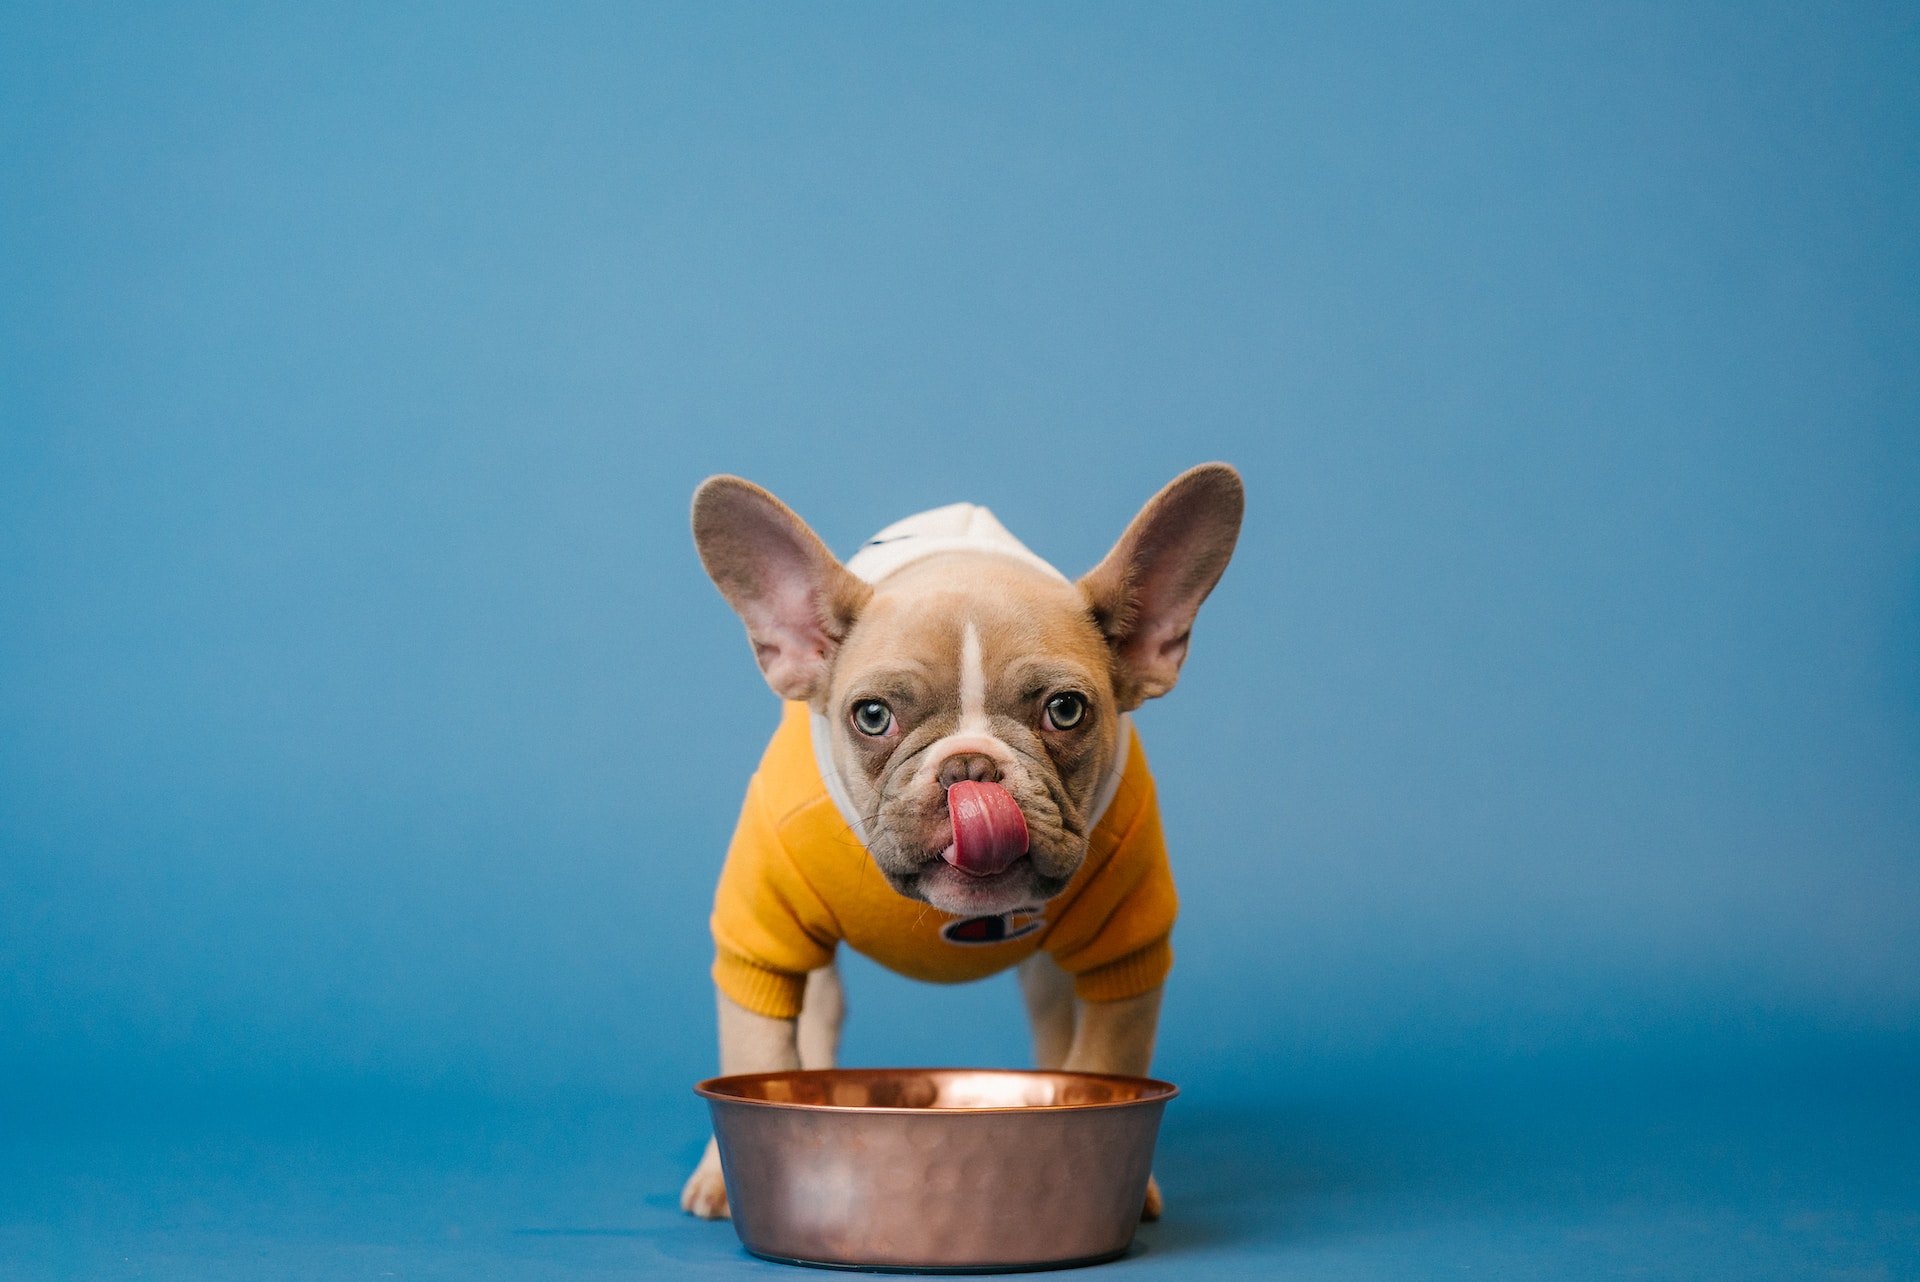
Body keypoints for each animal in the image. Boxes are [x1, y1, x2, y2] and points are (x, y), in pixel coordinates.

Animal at [683, 462, 1236, 1220]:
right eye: (872, 716)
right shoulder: (761, 942)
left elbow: (1107, 1058)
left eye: (1066, 711)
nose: (969, 767)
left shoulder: (1126, 954)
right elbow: (755, 1050)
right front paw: (724, 1172)